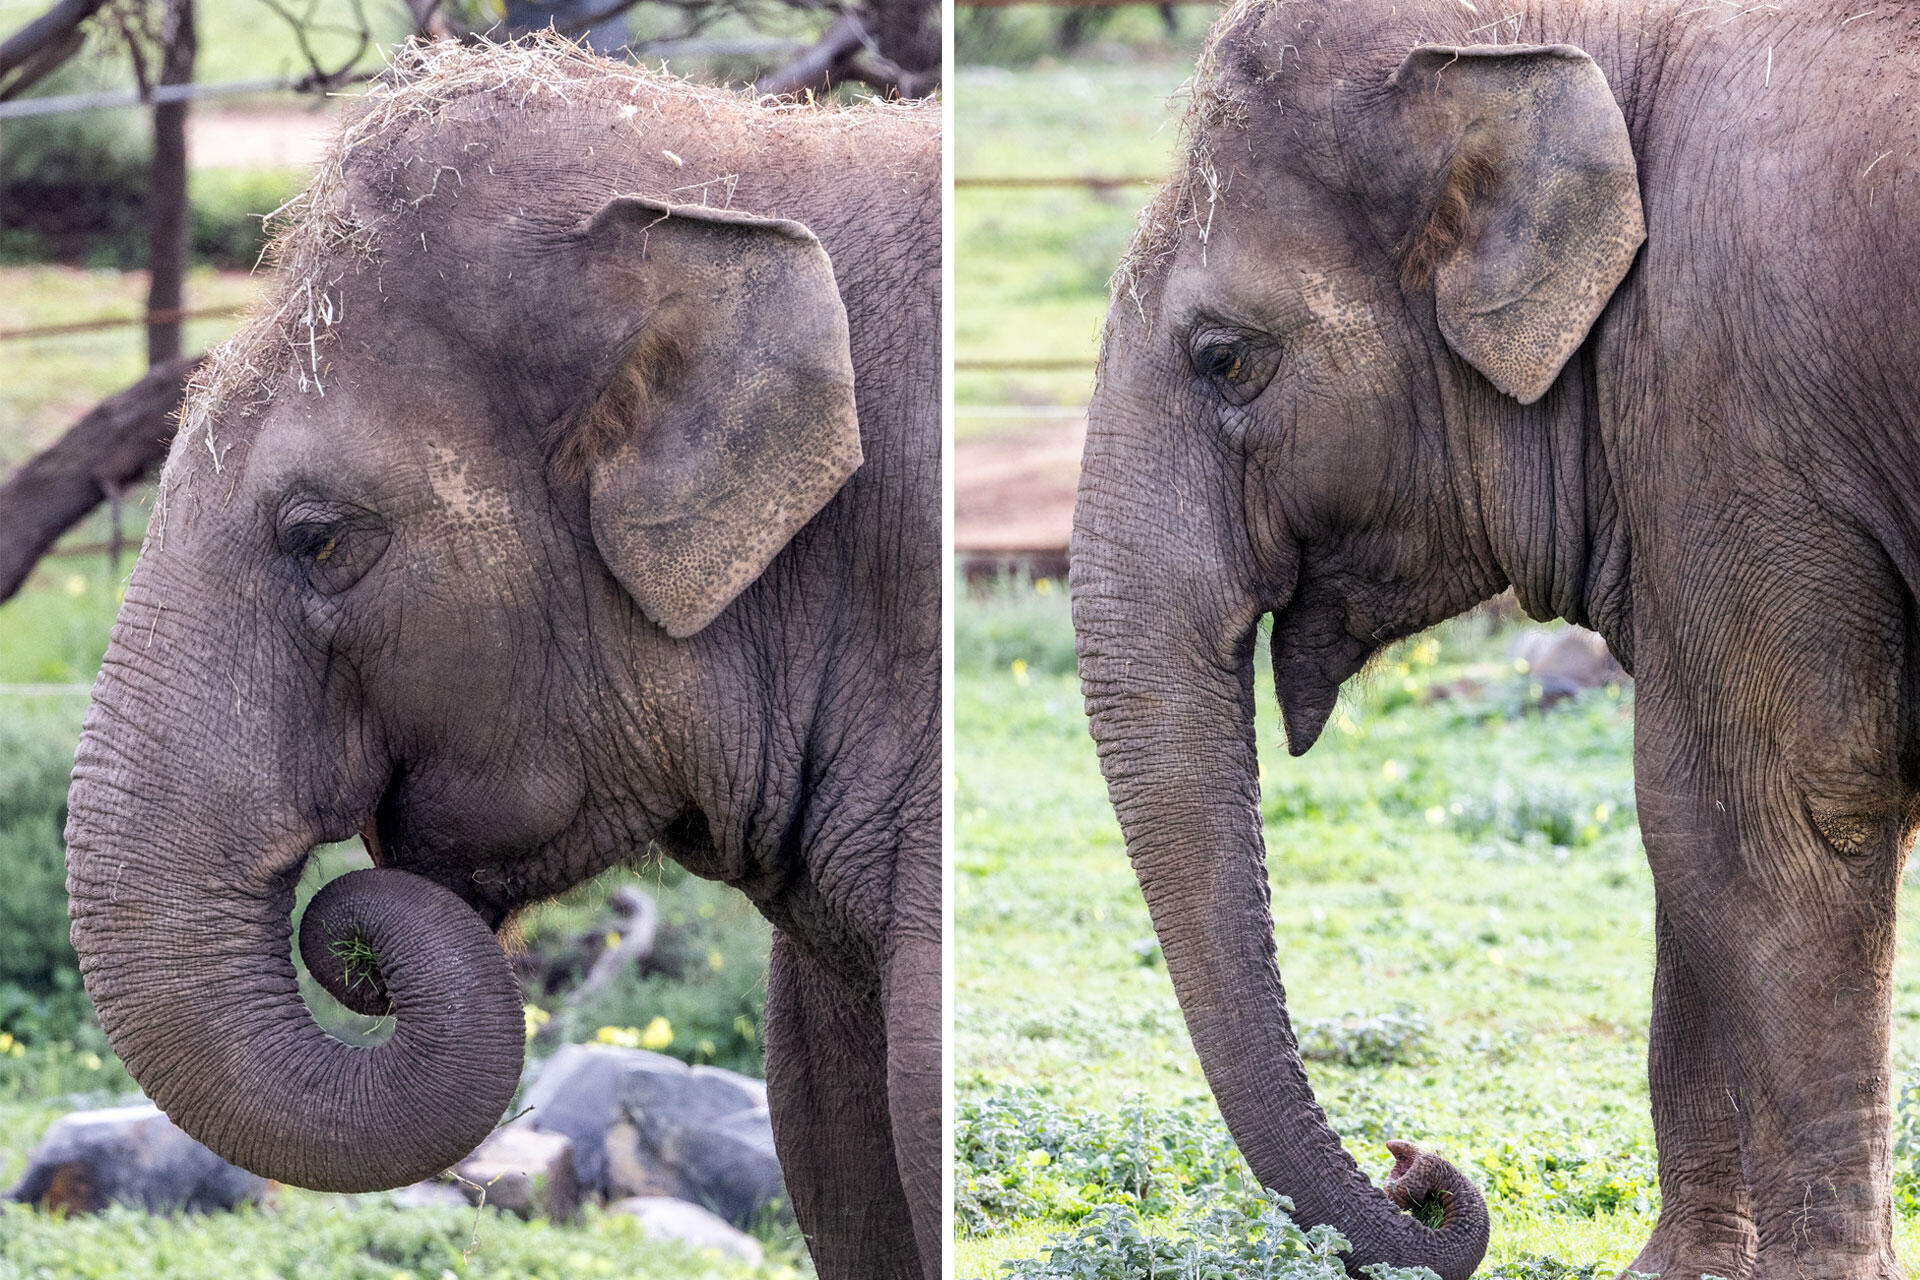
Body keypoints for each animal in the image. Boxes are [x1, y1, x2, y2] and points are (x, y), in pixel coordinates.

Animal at [1071, 2, 1920, 1277]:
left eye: (1228, 357)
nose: (1409, 1161)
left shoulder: (1738, 405)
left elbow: (1778, 821)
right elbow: (1689, 815)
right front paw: (1675, 1271)